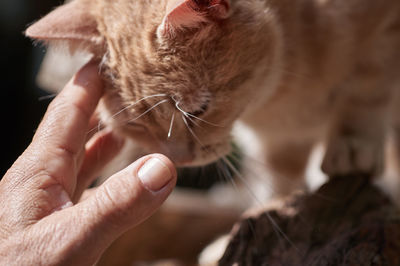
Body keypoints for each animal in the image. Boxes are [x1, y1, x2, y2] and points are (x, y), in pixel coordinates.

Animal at [26, 0, 400, 197]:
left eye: (198, 110)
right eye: (137, 126)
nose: (180, 159)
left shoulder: (384, 28)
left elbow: (369, 87)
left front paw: (352, 142)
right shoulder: (280, 139)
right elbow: (279, 180)